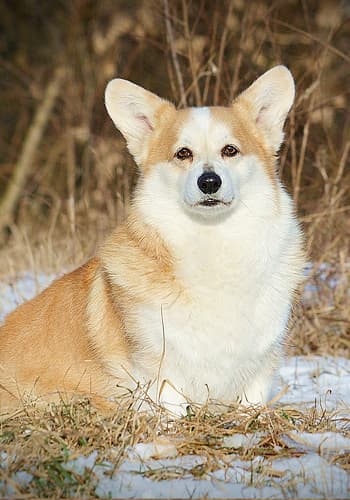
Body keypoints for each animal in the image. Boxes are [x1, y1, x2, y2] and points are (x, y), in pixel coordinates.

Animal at [0, 66, 304, 416]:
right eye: (183, 153)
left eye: (230, 150)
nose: (209, 182)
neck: (212, 241)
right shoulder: (161, 370)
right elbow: (173, 410)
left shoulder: (259, 367)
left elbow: (250, 406)